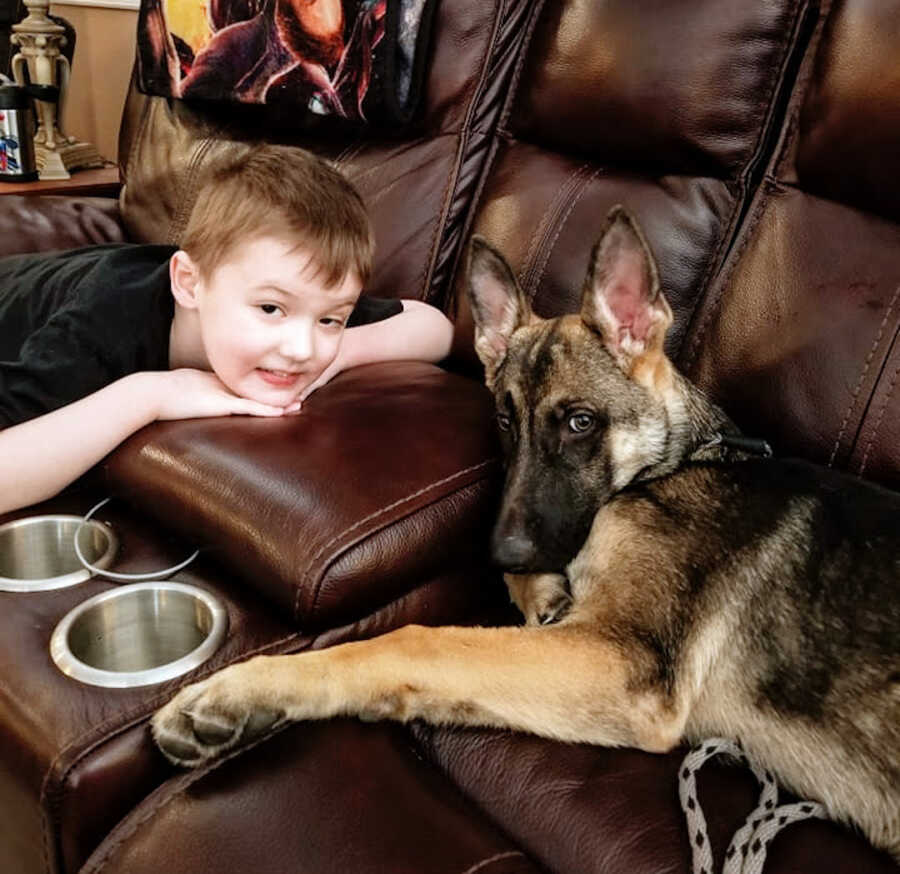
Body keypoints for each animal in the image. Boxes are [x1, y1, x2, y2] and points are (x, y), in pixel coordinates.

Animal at [155, 209, 900, 860]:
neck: (685, 459)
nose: (499, 552)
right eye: (505, 420)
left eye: (580, 423)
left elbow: (413, 642)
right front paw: (540, 589)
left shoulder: (621, 663)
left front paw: (238, 693)